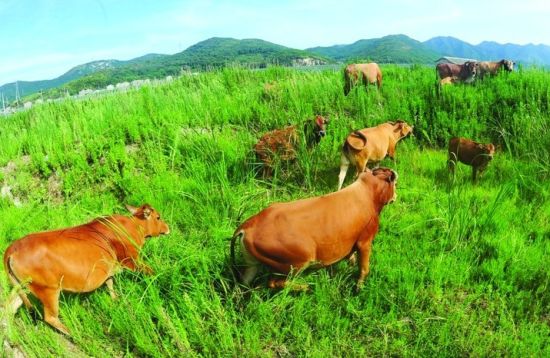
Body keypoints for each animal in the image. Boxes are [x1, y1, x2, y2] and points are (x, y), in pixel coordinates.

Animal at [2, 204, 170, 336]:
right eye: (158, 217)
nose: (168, 228)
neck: (132, 226)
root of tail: (12, 248)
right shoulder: (132, 261)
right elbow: (152, 273)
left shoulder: (109, 270)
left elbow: (110, 286)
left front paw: (116, 300)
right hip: (48, 290)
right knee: (50, 317)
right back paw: (73, 334)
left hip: (24, 287)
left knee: (8, 308)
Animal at [231, 166, 398, 290]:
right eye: (395, 183)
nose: (395, 196)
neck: (369, 192)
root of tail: (249, 225)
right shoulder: (365, 240)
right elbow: (364, 268)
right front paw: (358, 287)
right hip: (298, 262)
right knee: (274, 282)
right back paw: (305, 287)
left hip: (252, 264)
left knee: (244, 282)